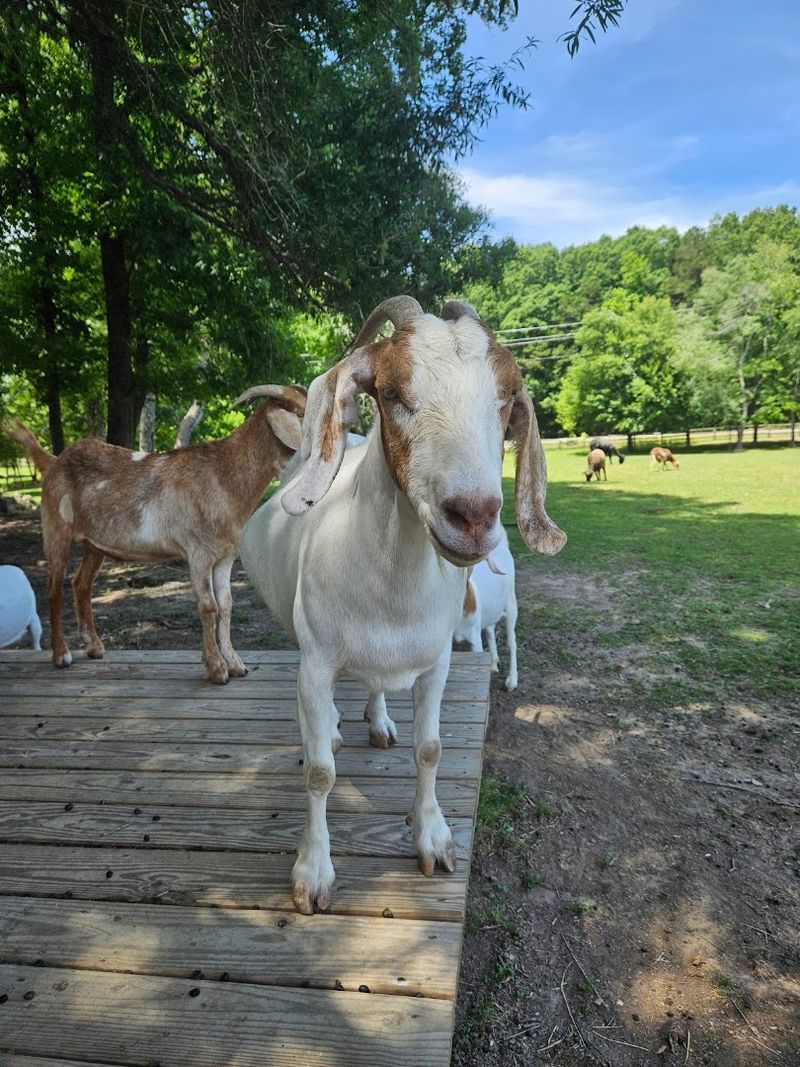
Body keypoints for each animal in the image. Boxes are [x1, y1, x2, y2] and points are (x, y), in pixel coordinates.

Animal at [4, 384, 305, 682]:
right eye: (304, 411)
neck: (223, 477)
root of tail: (53, 462)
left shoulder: (225, 556)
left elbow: (227, 604)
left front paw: (235, 664)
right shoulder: (197, 552)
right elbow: (209, 606)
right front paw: (217, 669)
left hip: (95, 543)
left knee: (81, 583)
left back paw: (94, 647)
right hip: (56, 529)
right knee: (54, 589)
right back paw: (61, 655)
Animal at [452, 527, 518, 690]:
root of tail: (502, 547)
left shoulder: (474, 638)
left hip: (511, 602)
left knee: (512, 641)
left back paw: (512, 681)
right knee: (490, 630)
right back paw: (493, 663)